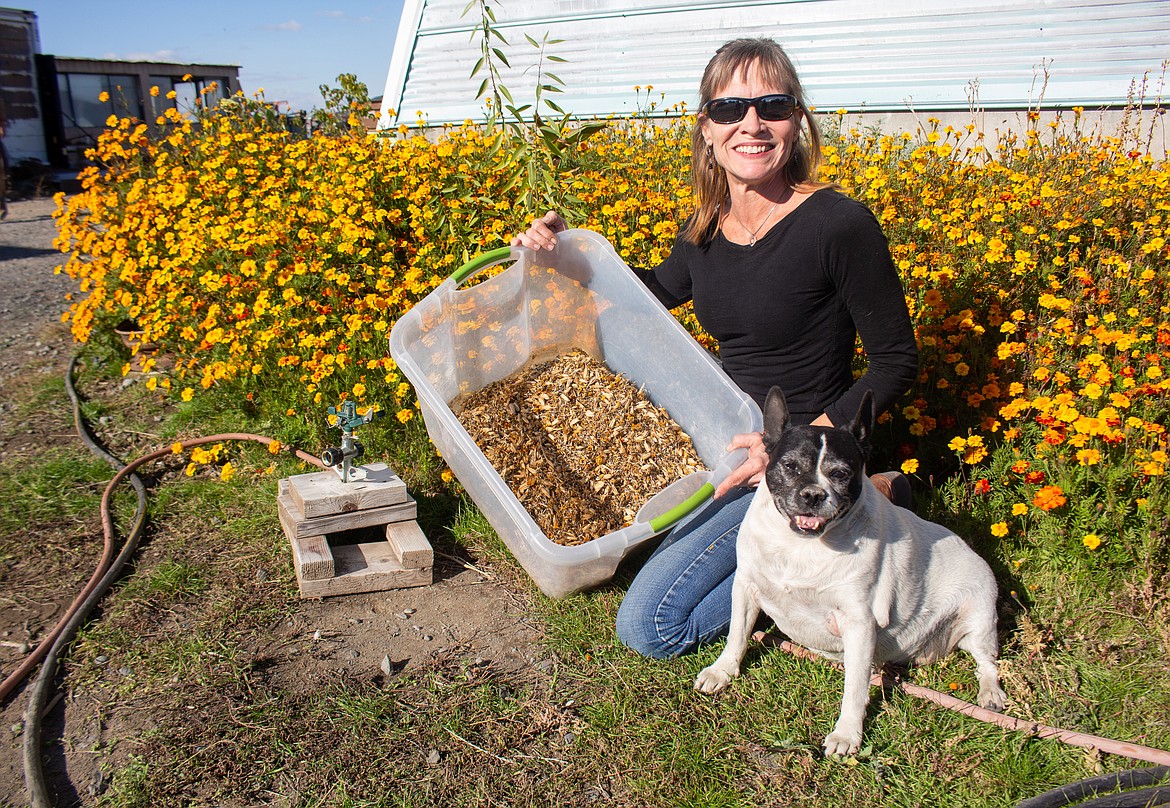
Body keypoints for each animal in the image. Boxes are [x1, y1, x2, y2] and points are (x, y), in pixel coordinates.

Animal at [695, 386, 1006, 757]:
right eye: (789, 466)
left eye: (841, 474)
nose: (813, 494)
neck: (801, 545)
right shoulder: (745, 587)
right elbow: (738, 635)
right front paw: (723, 670)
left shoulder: (859, 623)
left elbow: (855, 688)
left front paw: (846, 735)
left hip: (979, 618)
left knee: (987, 662)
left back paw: (991, 694)